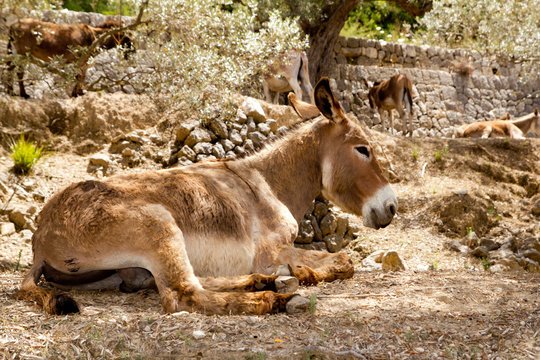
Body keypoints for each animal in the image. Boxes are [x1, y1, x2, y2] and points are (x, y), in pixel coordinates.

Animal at [4, 17, 133, 97]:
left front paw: (77, 93)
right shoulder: (82, 60)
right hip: (22, 53)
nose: (132, 49)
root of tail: (13, 26)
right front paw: (77, 93)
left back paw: (13, 92)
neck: (95, 36)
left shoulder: (82, 62)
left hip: (18, 53)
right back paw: (21, 94)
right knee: (17, 72)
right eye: (125, 35)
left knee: (11, 69)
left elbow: (80, 76)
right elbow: (80, 76)